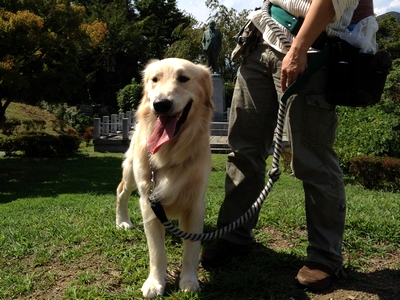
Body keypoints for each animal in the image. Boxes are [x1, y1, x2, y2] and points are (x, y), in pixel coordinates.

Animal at [115, 57, 214, 296]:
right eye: (154, 79)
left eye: (184, 78)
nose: (160, 104)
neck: (171, 150)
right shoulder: (148, 201)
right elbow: (156, 251)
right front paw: (155, 283)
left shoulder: (196, 203)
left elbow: (192, 248)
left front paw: (189, 280)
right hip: (131, 173)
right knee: (121, 191)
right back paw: (122, 221)